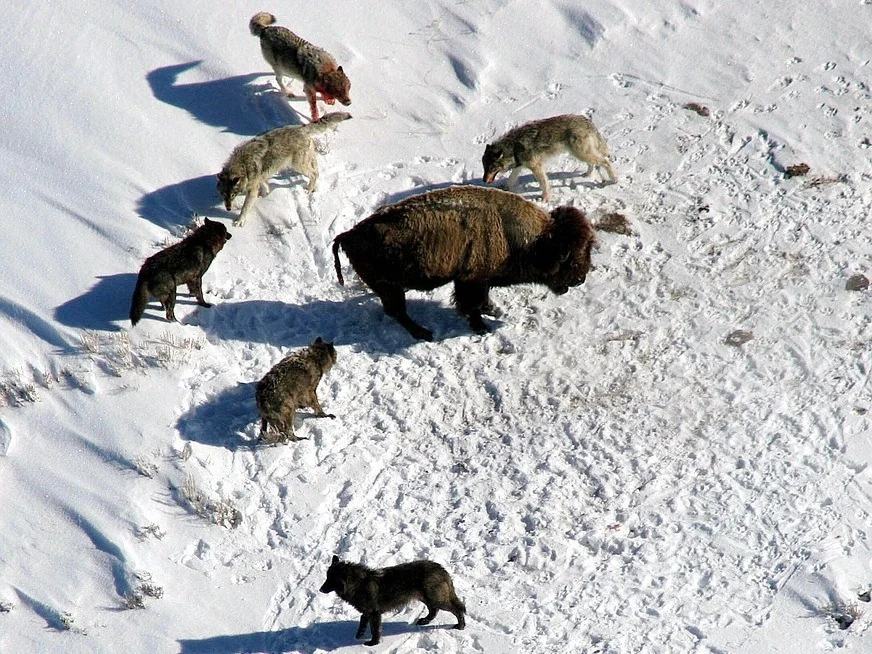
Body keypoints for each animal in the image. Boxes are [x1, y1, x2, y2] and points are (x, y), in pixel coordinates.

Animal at [217, 111, 350, 228]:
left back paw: (308, 189)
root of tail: (301, 128)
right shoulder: (260, 177)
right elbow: (264, 185)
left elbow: (245, 207)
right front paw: (265, 195)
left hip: (298, 165)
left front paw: (240, 221)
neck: (243, 165)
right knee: (316, 170)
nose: (228, 208)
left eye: (233, 194)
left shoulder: (252, 188)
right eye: (223, 194)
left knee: (314, 174)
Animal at [320, 556, 466, 648]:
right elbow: (362, 623)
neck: (358, 584)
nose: (320, 589)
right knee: (434, 610)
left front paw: (373, 643)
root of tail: (441, 569)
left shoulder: (374, 614)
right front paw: (359, 636)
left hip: (437, 599)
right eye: (326, 578)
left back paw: (461, 626)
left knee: (457, 609)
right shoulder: (367, 612)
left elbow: (375, 630)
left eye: (330, 580)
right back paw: (425, 620)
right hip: (425, 597)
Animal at [330, 183, 596, 340]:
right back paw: (424, 333)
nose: (581, 279)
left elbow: (482, 300)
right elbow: (472, 305)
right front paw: (481, 327)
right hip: (390, 288)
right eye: (570, 257)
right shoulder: (471, 280)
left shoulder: (477, 280)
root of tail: (349, 235)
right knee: (398, 312)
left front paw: (494, 311)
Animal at [480, 114, 616, 202]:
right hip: (580, 154)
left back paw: (614, 179)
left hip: (581, 153)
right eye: (484, 168)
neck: (513, 147)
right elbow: (511, 179)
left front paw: (545, 198)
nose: (484, 181)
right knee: (593, 164)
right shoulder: (520, 166)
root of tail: (587, 121)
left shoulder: (536, 167)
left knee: (605, 161)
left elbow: (544, 183)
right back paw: (587, 175)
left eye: (491, 168)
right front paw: (505, 189)